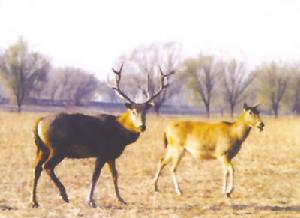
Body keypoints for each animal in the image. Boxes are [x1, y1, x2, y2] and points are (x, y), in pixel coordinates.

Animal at [30, 63, 175, 208]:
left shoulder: (111, 155)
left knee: (37, 168)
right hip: (57, 148)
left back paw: (34, 201)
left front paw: (121, 199)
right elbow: (95, 176)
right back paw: (64, 195)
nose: (142, 126)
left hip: (42, 148)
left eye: (145, 111)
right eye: (133, 111)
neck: (119, 131)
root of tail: (39, 121)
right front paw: (90, 200)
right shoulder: (102, 152)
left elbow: (115, 175)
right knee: (47, 167)